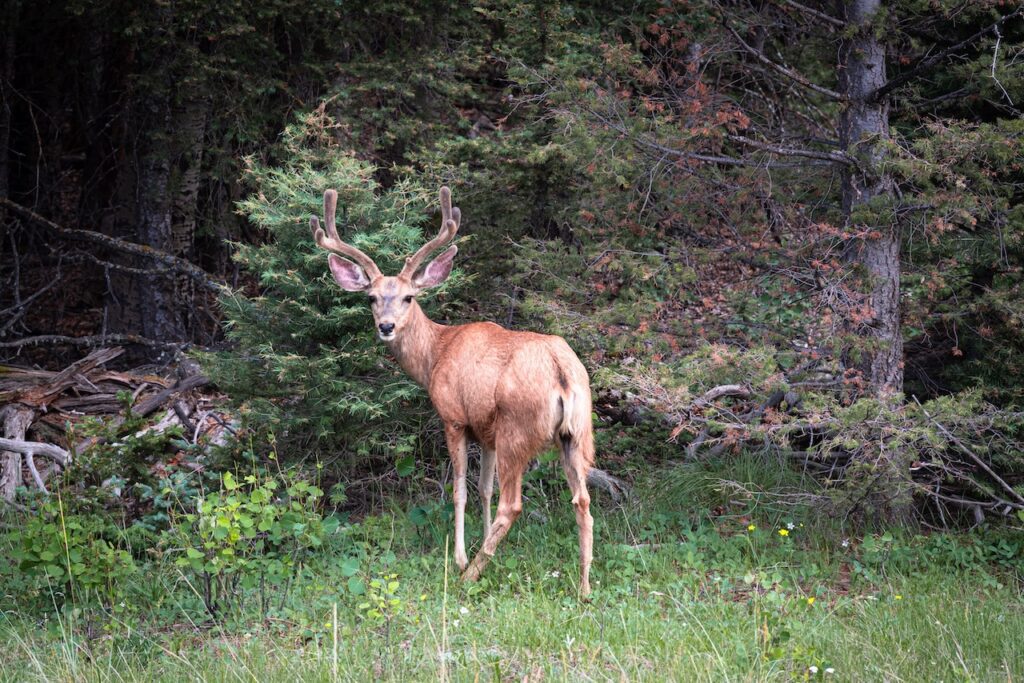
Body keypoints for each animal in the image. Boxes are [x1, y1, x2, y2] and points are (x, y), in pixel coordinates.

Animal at [311, 184, 598, 593]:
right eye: (371, 297)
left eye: (409, 297)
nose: (386, 326)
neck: (436, 353)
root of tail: (562, 371)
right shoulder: (487, 431)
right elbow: (484, 489)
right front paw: (486, 545)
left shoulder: (455, 418)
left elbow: (461, 490)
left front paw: (462, 556)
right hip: (576, 433)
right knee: (582, 500)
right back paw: (584, 587)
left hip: (518, 428)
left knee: (514, 503)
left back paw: (472, 573)